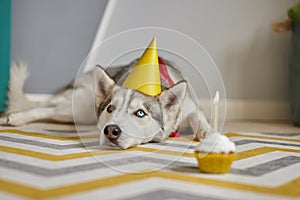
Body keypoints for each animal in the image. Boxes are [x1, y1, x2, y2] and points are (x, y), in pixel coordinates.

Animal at [0, 59, 212, 148]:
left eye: (140, 113)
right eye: (110, 108)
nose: (111, 131)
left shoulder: (190, 108)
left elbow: (198, 116)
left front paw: (206, 132)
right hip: (79, 109)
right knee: (44, 108)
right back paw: (14, 118)